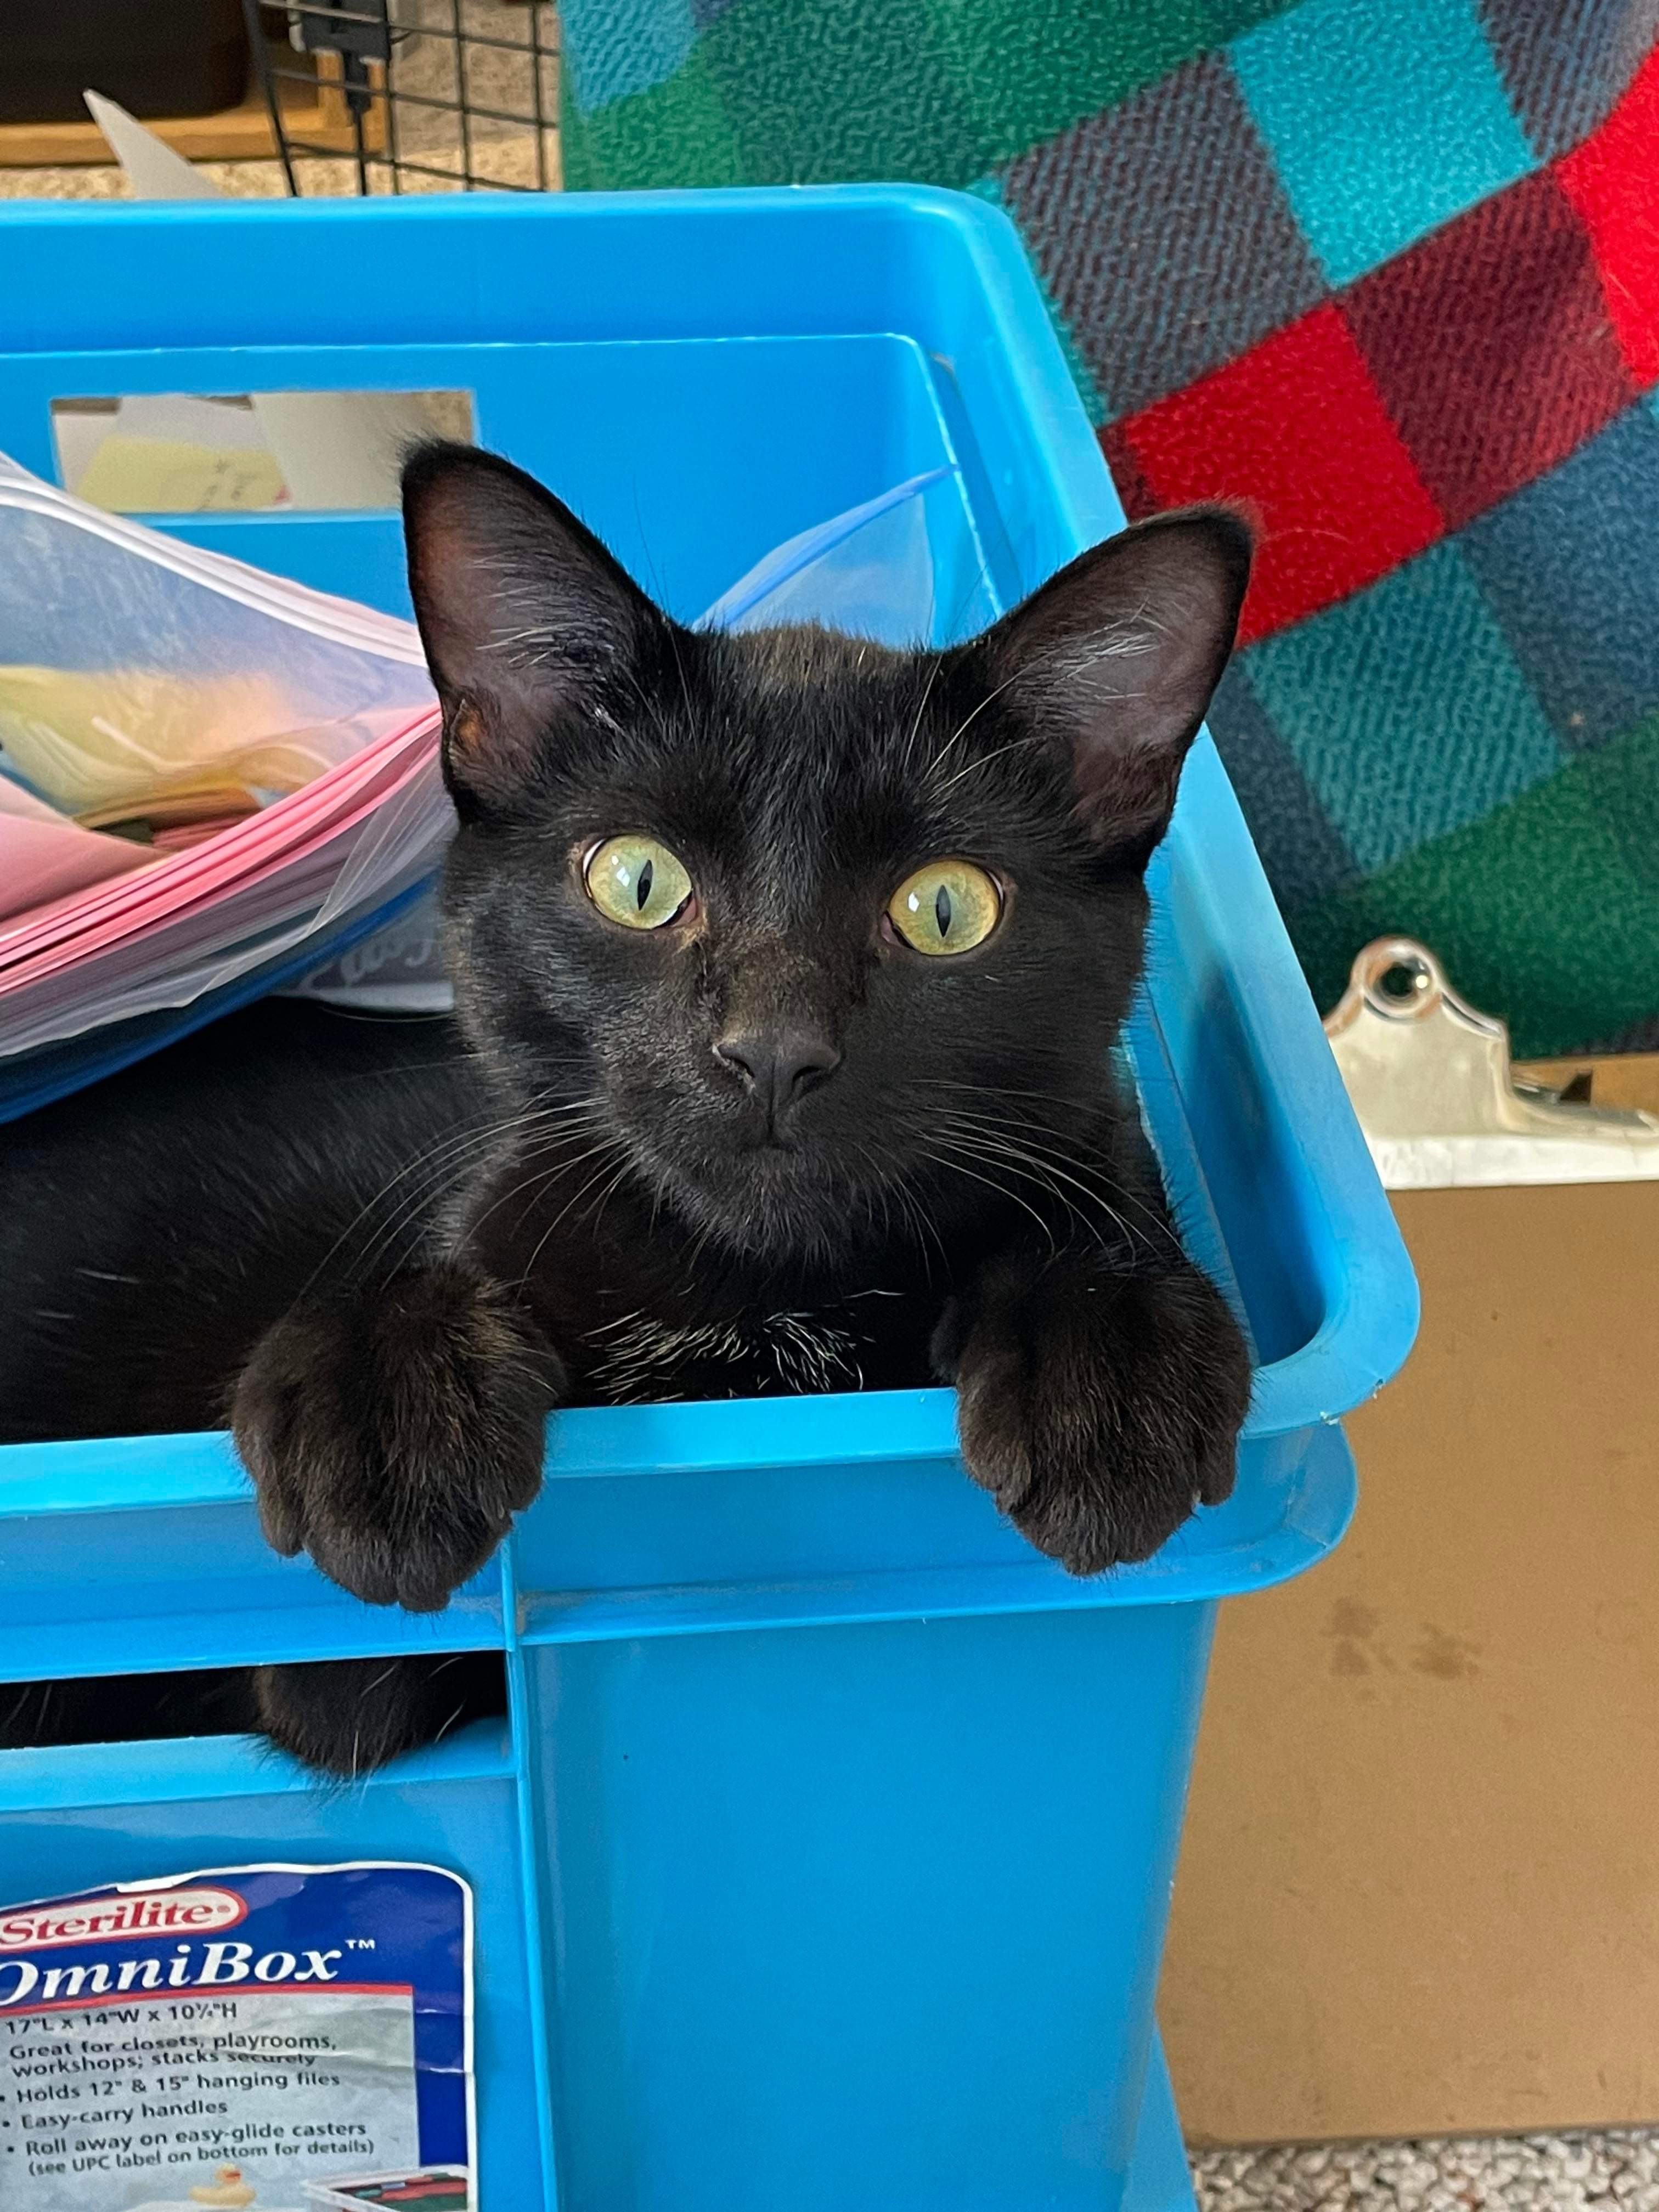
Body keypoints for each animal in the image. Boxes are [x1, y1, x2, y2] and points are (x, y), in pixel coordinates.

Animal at [0, 440, 1256, 1769]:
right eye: (638, 881)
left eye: (945, 908)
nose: (771, 1048)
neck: (762, 1298)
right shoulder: (317, 1681)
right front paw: (385, 1394)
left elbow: (1093, 1214)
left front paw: (1103, 1354)